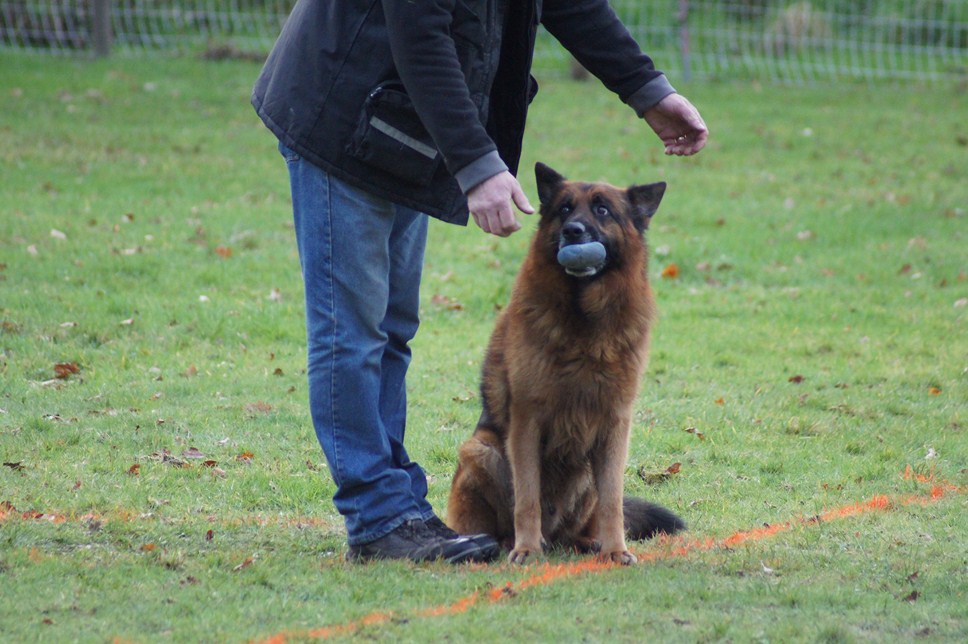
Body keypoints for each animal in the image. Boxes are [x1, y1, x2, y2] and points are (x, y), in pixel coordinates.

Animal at [448, 164, 684, 568]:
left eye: (603, 210)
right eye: (564, 209)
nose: (573, 231)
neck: (584, 320)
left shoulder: (615, 425)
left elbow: (613, 501)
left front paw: (616, 549)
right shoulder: (527, 422)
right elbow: (527, 498)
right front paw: (526, 549)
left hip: (585, 475)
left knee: (580, 526)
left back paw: (589, 543)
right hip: (480, 449)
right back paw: (500, 543)